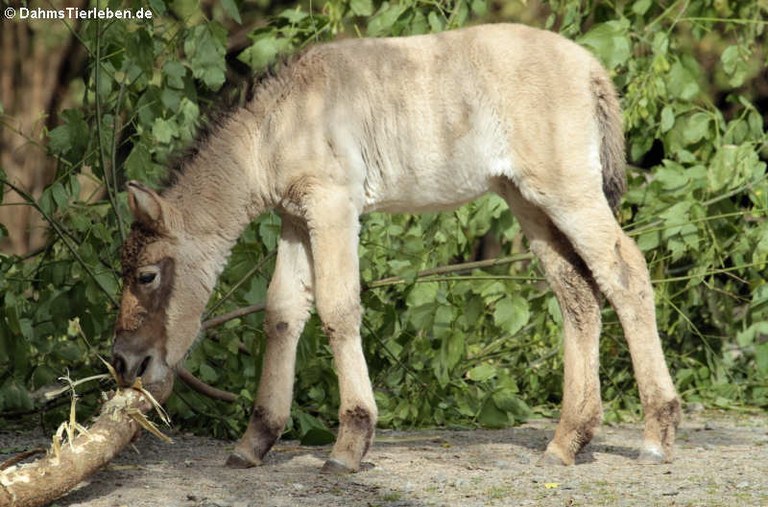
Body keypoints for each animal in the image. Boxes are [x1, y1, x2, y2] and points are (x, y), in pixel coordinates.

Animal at [112, 23, 680, 474]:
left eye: (146, 275)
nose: (123, 363)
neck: (277, 125)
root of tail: (591, 69)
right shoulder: (295, 218)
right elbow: (282, 313)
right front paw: (255, 442)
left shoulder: (334, 207)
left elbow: (338, 309)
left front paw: (350, 443)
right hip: (528, 201)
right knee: (577, 294)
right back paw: (568, 440)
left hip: (568, 192)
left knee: (626, 274)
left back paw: (656, 434)